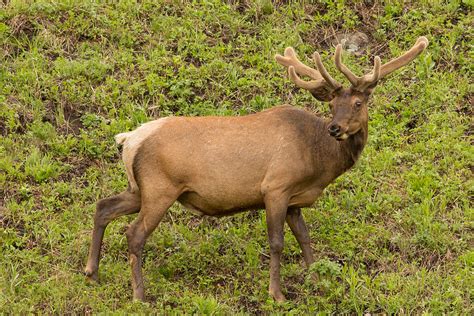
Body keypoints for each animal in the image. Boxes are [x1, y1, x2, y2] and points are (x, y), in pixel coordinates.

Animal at [85, 36, 430, 302]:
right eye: (332, 106)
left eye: (358, 103)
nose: (335, 128)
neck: (318, 161)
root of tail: (129, 139)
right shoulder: (276, 187)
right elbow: (277, 242)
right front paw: (277, 294)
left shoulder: (294, 199)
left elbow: (304, 238)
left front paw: (316, 279)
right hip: (160, 188)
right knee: (134, 234)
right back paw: (139, 294)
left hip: (139, 188)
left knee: (103, 206)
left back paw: (92, 272)